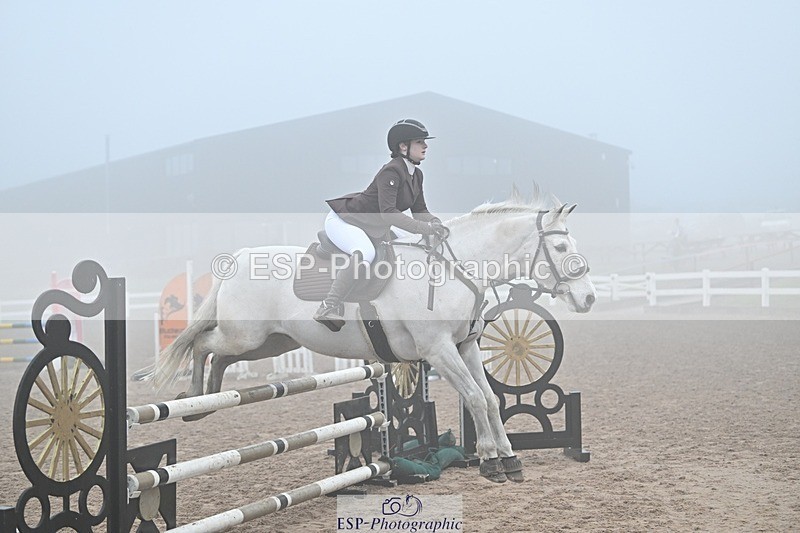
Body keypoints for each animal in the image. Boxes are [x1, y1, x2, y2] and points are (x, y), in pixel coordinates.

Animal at [146, 193, 596, 483]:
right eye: (560, 247)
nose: (589, 298)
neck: (455, 269)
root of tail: (238, 259)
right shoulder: (439, 350)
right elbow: (475, 397)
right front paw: (489, 462)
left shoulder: (465, 347)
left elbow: (487, 398)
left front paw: (508, 457)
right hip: (245, 336)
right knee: (202, 345)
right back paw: (193, 398)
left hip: (270, 343)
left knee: (219, 356)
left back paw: (205, 402)